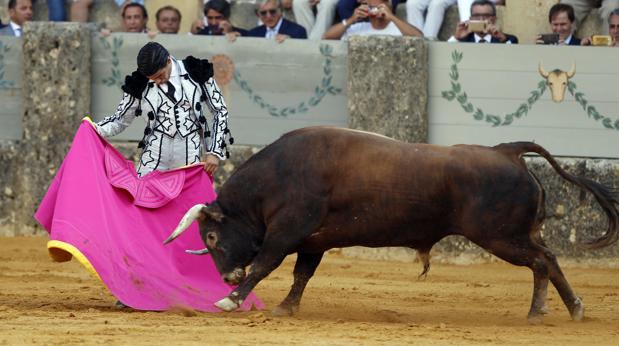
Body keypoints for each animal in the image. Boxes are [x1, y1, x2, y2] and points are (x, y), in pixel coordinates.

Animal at [165, 127, 619, 324]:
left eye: (211, 236)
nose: (227, 277)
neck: (277, 176)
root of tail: (506, 151)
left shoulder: (287, 232)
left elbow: (265, 265)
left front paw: (230, 301)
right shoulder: (313, 241)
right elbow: (301, 275)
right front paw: (286, 307)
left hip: (501, 236)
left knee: (543, 262)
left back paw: (539, 312)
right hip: (518, 234)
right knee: (550, 260)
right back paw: (572, 309)